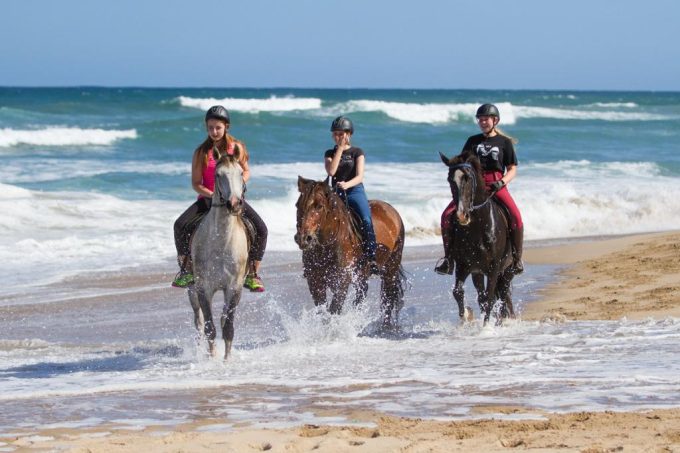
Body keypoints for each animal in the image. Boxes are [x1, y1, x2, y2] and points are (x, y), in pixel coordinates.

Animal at [188, 155, 249, 359]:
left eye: (240, 172)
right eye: (218, 174)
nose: (234, 204)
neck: (221, 242)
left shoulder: (234, 287)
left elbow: (227, 326)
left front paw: (227, 359)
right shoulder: (203, 288)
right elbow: (209, 328)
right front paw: (212, 357)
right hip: (191, 291)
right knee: (198, 322)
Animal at [294, 177, 407, 329]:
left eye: (319, 206)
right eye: (297, 205)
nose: (303, 238)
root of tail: (393, 211)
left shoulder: (342, 280)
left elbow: (334, 309)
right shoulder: (315, 281)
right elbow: (323, 312)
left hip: (391, 269)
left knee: (388, 297)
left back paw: (385, 327)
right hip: (363, 275)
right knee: (362, 296)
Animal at [439, 151, 515, 325]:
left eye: (468, 178)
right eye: (450, 179)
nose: (462, 215)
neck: (477, 228)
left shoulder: (494, 267)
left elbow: (490, 298)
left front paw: (486, 326)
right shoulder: (464, 266)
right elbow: (458, 292)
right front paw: (466, 318)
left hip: (507, 270)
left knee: (503, 295)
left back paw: (503, 321)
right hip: (478, 273)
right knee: (489, 296)